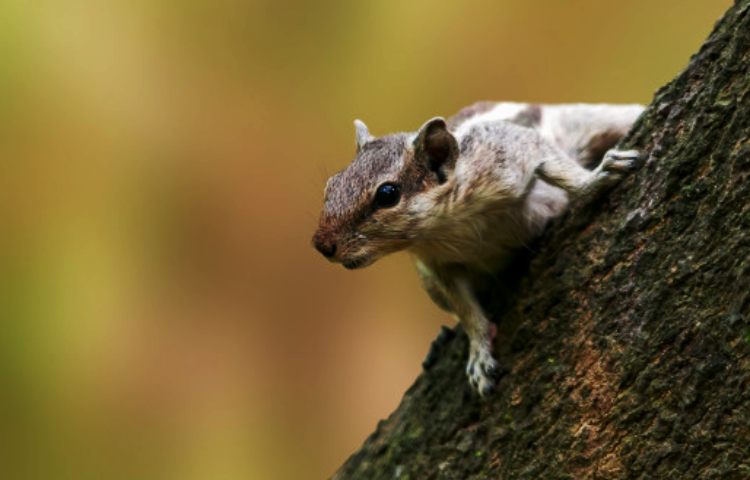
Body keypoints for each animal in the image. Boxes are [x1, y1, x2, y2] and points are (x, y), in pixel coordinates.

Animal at [312, 102, 648, 398]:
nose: (321, 244)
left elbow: (551, 163)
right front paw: (479, 354)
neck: (444, 226)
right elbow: (466, 311)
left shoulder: (507, 155)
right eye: (331, 185)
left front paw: (594, 178)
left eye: (387, 194)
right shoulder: (438, 268)